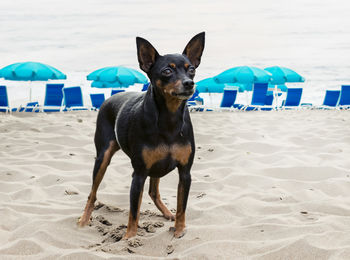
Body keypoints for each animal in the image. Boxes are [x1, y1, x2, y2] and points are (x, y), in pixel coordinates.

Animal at [78, 32, 205, 240]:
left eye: (192, 69)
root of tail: (111, 97)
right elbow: (133, 211)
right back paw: (83, 220)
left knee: (154, 192)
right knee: (93, 193)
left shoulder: (185, 173)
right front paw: (129, 237)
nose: (189, 83)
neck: (169, 118)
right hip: (103, 157)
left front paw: (179, 230)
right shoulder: (138, 174)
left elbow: (182, 207)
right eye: (167, 71)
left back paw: (167, 213)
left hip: (157, 166)